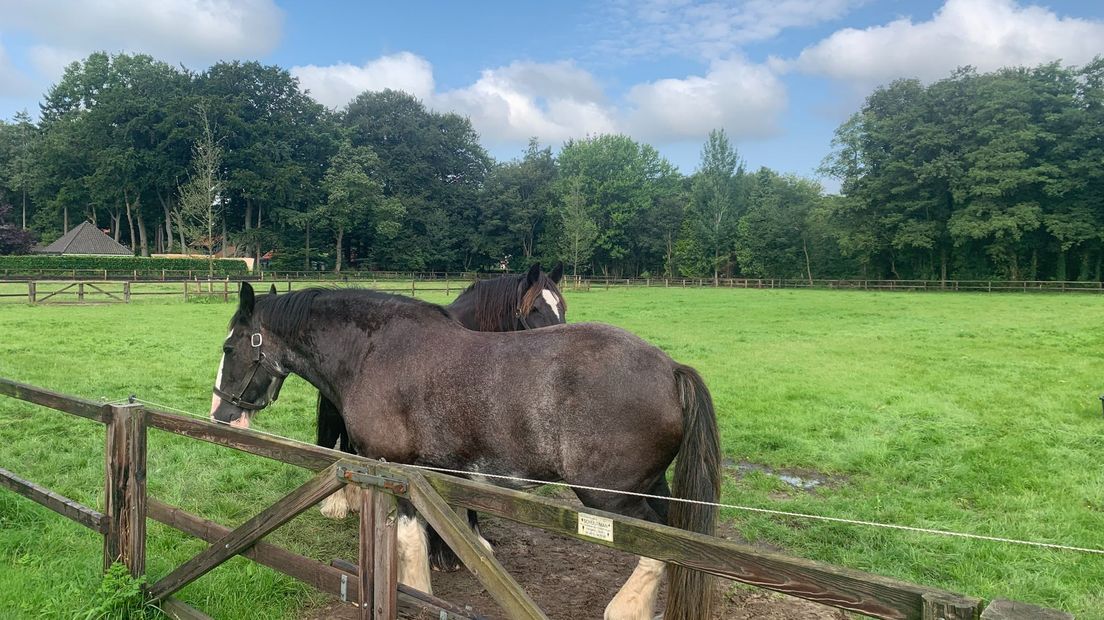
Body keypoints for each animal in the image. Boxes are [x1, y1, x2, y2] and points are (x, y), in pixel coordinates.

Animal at [209, 282, 719, 613]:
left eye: (230, 347)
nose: (220, 412)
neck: (375, 352)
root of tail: (671, 369)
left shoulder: (398, 470)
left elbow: (409, 540)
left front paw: (417, 591)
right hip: (650, 486)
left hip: (612, 498)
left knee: (658, 548)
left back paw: (625, 607)